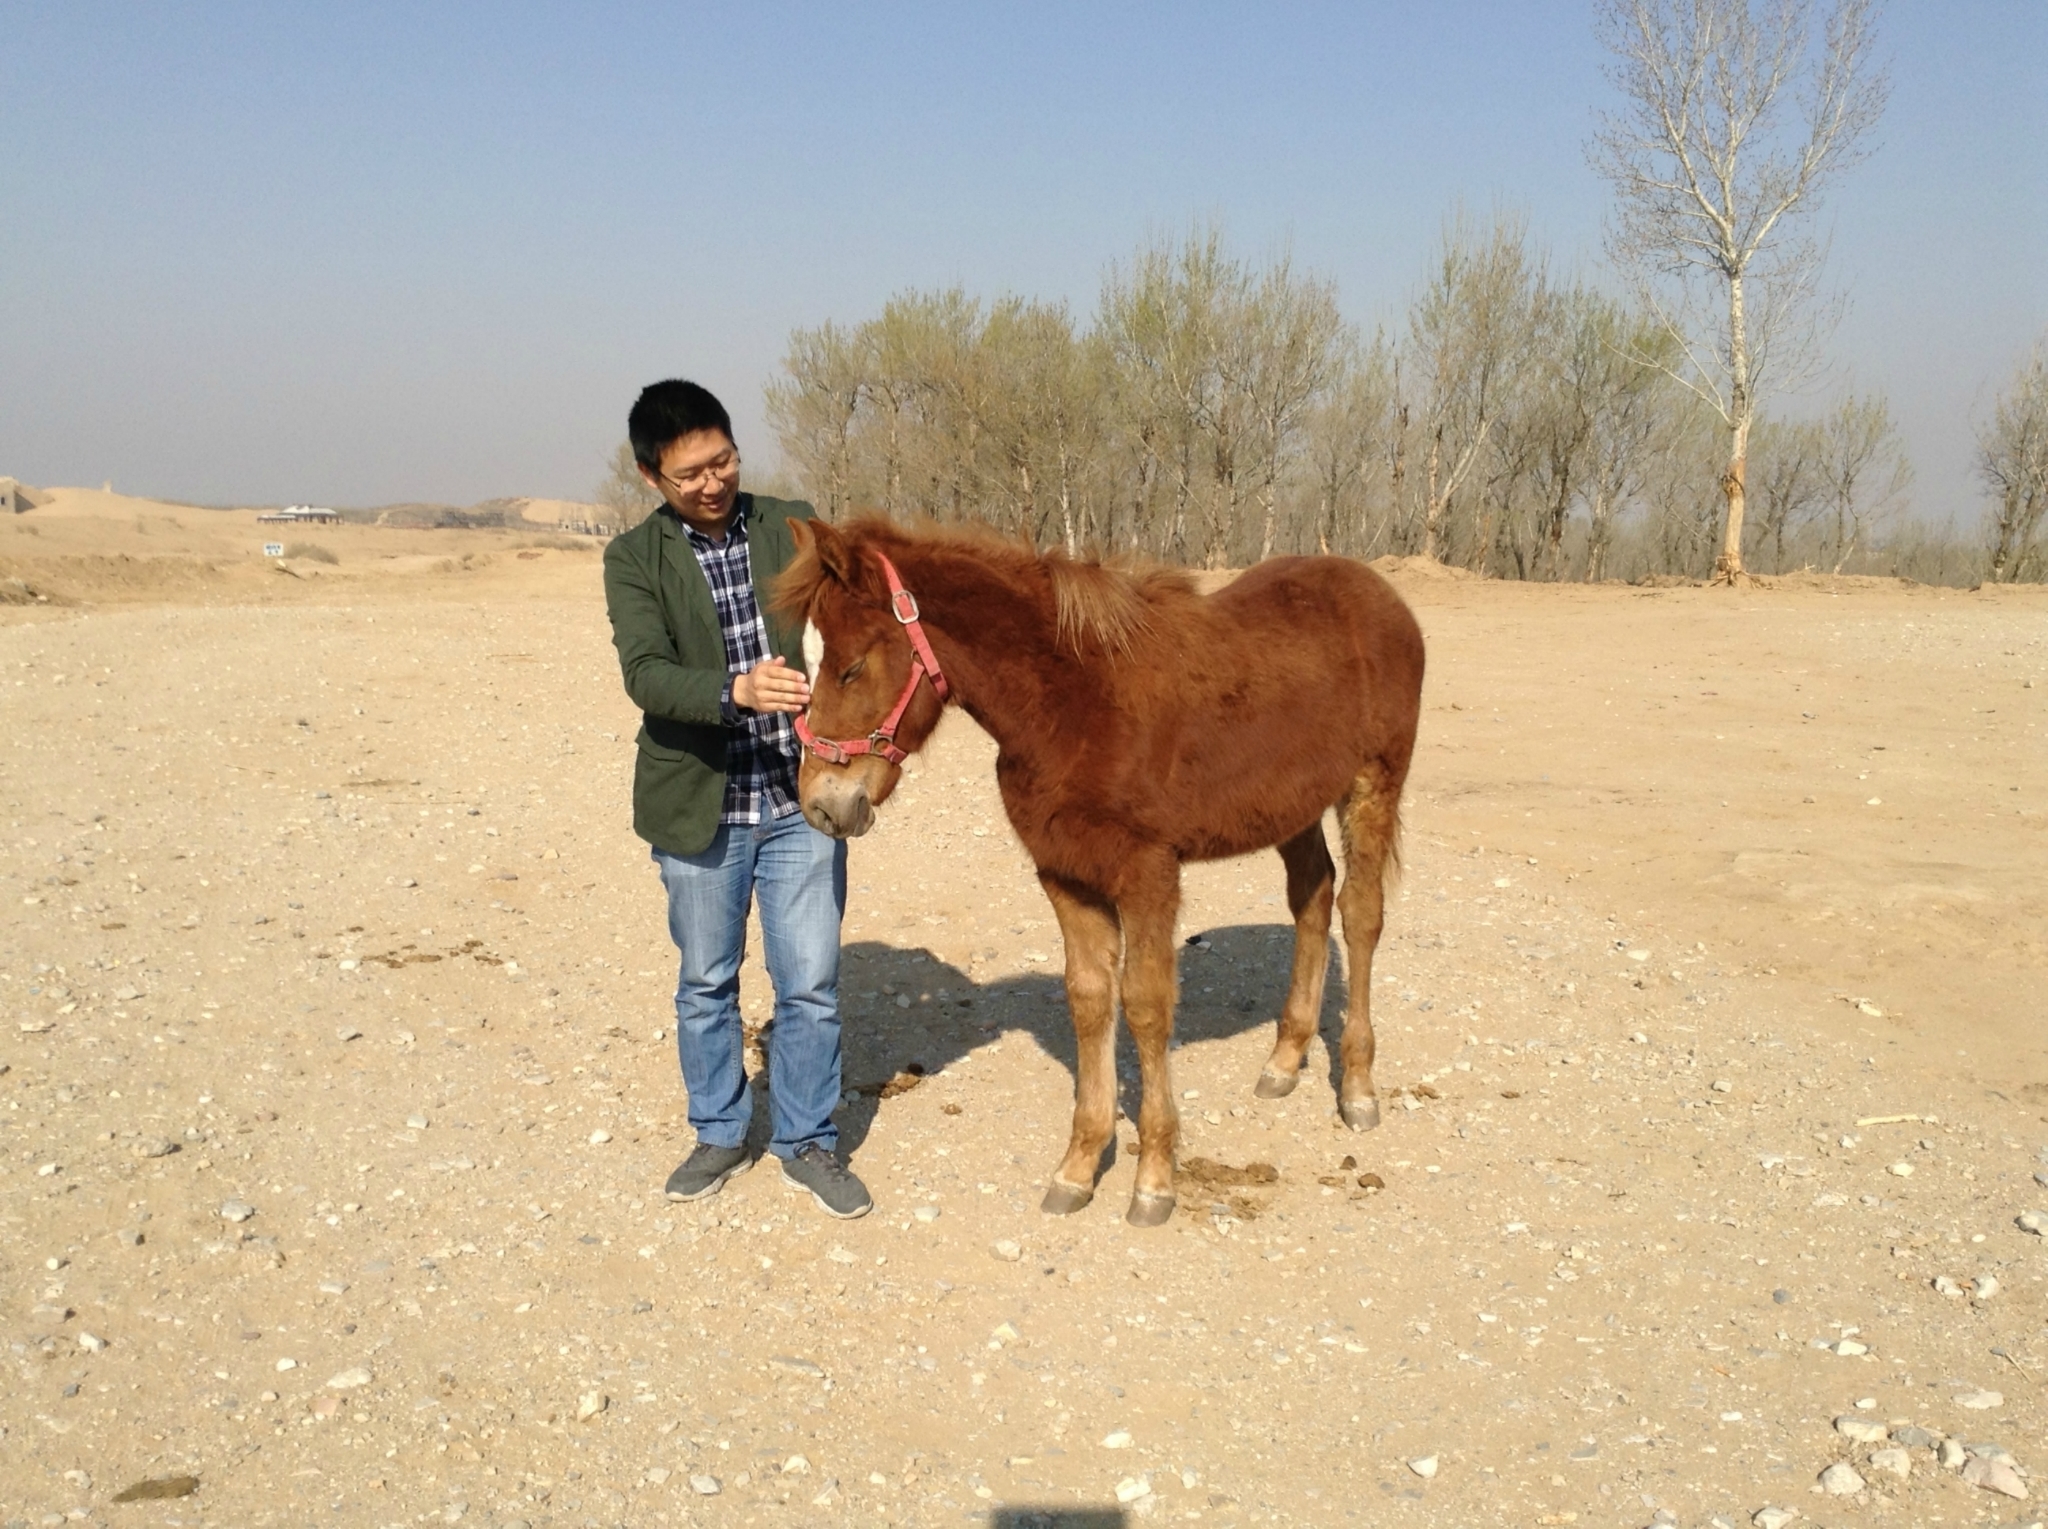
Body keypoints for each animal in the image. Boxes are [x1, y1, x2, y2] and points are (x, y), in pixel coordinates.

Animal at [774, 519, 1433, 1228]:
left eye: (851, 666)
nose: (822, 805)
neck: (1074, 704)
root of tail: (1378, 593)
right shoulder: (1065, 874)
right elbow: (1089, 1001)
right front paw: (1079, 1167)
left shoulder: (1148, 874)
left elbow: (1144, 1005)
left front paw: (1154, 1180)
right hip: (1294, 805)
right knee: (1313, 897)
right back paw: (1285, 1061)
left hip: (1373, 784)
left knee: (1360, 916)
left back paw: (1359, 1089)